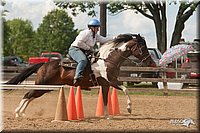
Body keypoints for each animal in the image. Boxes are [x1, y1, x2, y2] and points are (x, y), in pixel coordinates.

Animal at [6, 33, 155, 118]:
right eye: (143, 48)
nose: (152, 63)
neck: (108, 59)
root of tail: (44, 64)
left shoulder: (106, 84)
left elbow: (105, 100)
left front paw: (107, 116)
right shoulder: (112, 81)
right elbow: (126, 89)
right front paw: (129, 108)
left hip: (47, 87)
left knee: (30, 96)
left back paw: (22, 113)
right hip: (42, 85)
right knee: (28, 94)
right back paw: (17, 113)